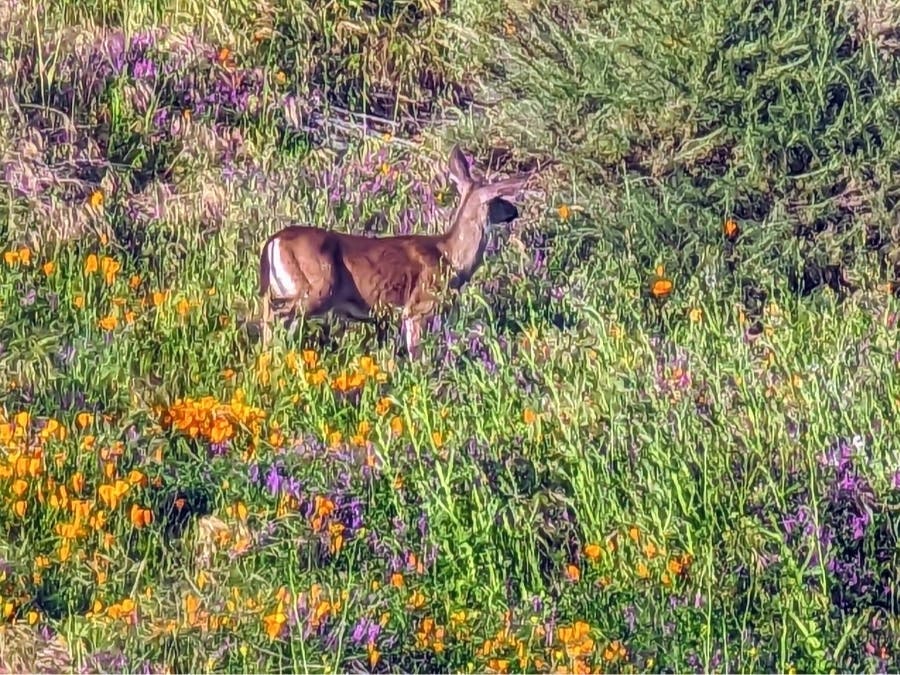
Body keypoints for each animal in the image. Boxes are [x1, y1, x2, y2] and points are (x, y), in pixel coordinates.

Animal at [257, 145, 532, 359]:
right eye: (499, 199)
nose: (515, 211)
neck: (452, 259)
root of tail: (274, 240)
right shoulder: (420, 306)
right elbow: (417, 353)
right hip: (319, 287)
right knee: (276, 314)